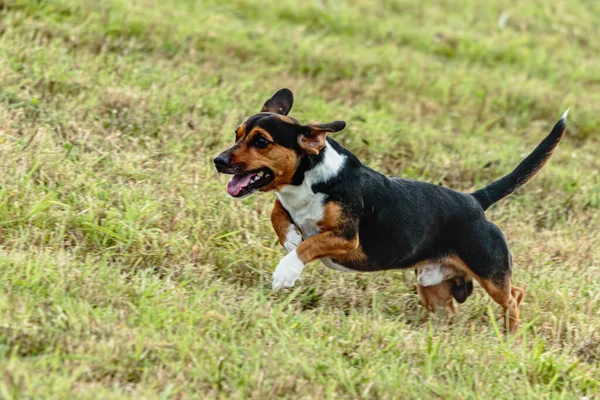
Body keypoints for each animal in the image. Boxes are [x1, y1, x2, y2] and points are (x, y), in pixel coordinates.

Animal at [214, 89, 568, 332]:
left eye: (261, 142)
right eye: (237, 134)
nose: (218, 160)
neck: (309, 178)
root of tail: (475, 200)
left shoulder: (346, 237)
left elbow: (309, 245)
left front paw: (287, 270)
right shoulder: (289, 205)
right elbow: (278, 214)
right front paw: (289, 238)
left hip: (491, 274)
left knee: (516, 295)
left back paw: (510, 334)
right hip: (432, 286)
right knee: (450, 312)